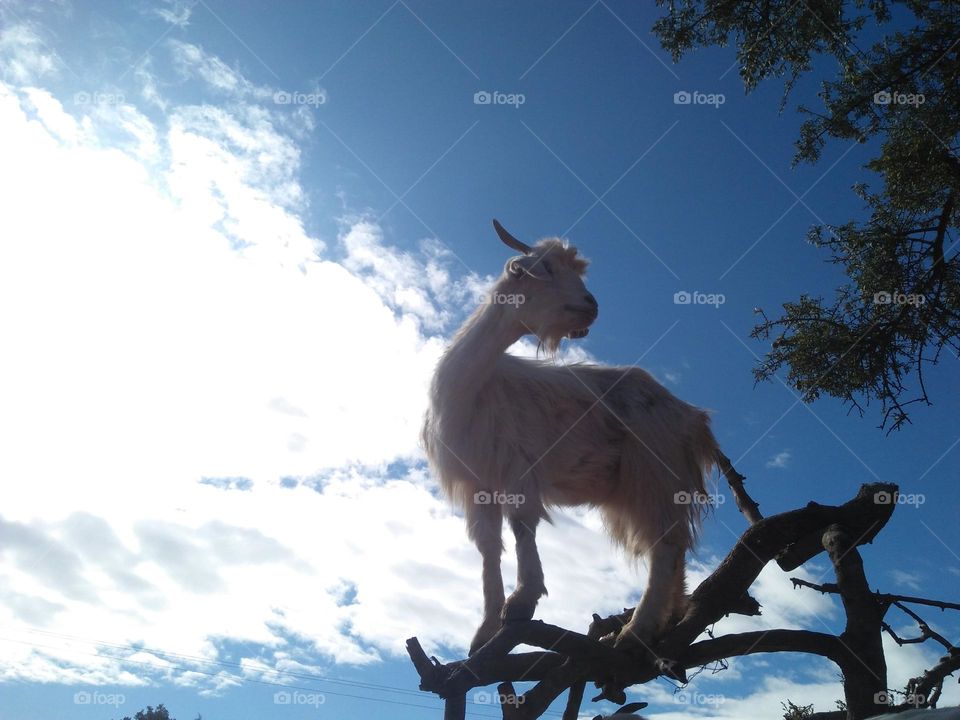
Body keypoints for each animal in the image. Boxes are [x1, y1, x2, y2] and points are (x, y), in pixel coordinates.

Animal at [422, 219, 720, 652]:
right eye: (543, 269)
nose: (592, 305)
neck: (474, 387)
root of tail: (693, 417)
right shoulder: (478, 483)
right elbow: (488, 548)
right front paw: (485, 630)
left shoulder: (519, 468)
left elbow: (522, 527)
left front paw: (522, 600)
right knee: (673, 546)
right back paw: (664, 620)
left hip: (654, 475)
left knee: (666, 545)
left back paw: (637, 629)